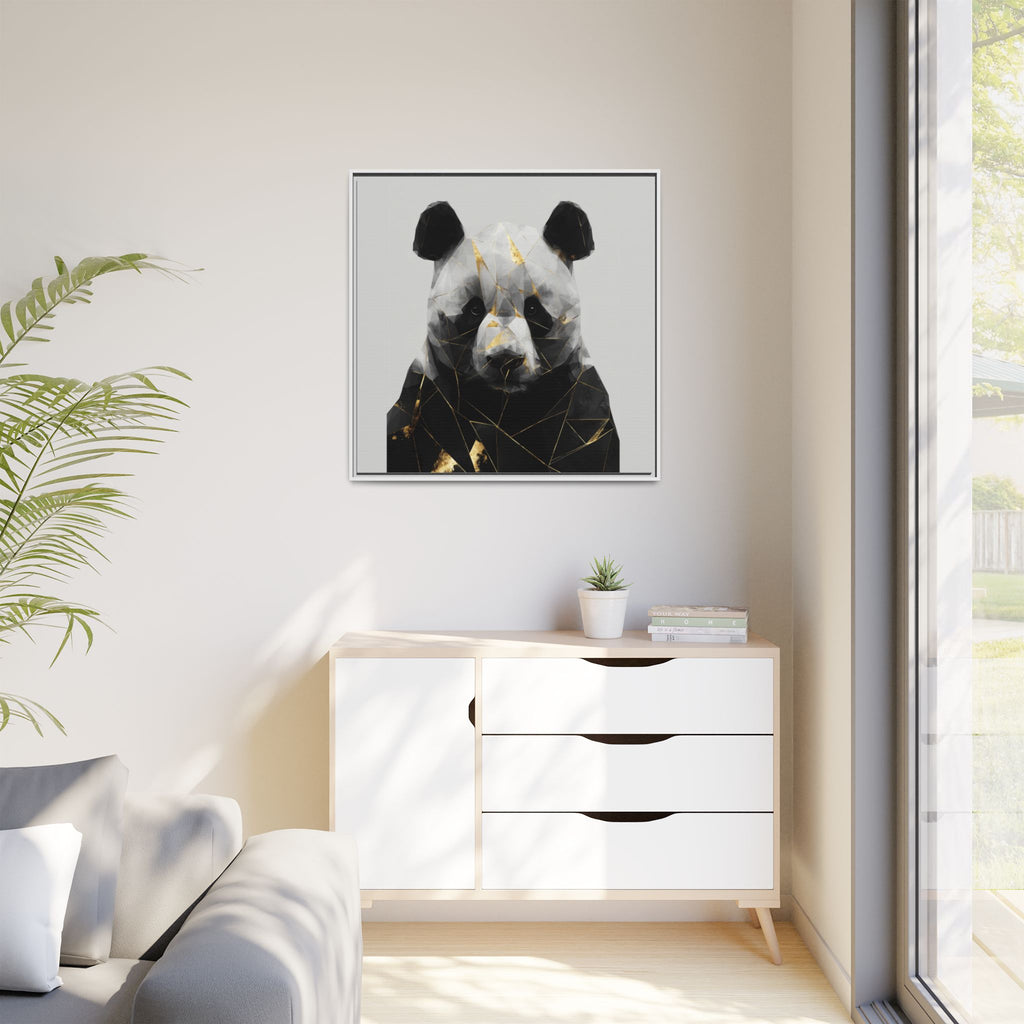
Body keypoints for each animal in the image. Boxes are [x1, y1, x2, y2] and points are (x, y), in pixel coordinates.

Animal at [386, 200, 619, 474]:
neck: (503, 408)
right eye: (474, 309)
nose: (505, 360)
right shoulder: (426, 402)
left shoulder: (580, 407)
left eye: (533, 309)